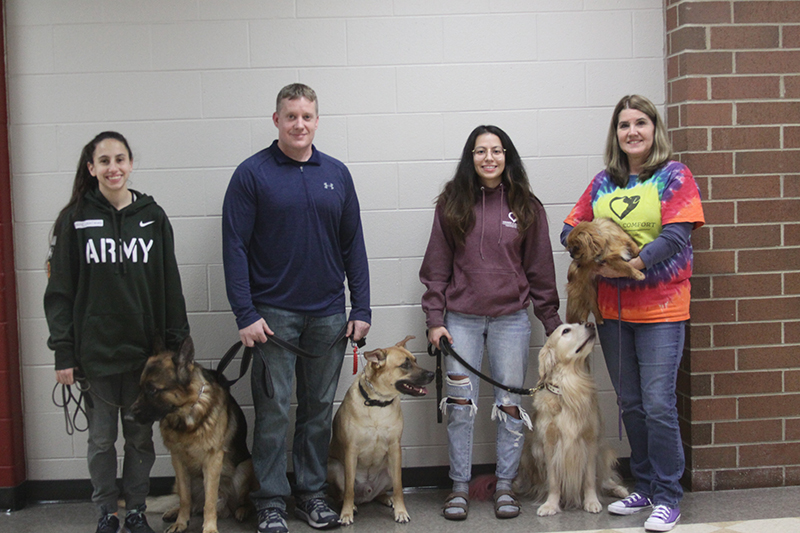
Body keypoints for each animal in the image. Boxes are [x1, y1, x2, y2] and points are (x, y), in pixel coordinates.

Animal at [130, 336, 253, 532]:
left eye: (153, 390)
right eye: (141, 388)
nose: (128, 416)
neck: (185, 417)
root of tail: (226, 504)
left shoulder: (213, 461)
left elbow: (210, 502)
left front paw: (209, 528)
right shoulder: (177, 460)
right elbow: (185, 498)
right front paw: (181, 523)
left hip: (245, 468)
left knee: (238, 501)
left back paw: (242, 510)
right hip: (180, 479)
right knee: (191, 502)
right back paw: (174, 511)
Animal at [326, 336, 434, 524]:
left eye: (416, 360)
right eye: (404, 365)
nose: (432, 374)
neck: (378, 402)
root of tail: (366, 495)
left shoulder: (395, 448)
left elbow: (398, 487)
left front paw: (401, 511)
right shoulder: (351, 450)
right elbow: (349, 489)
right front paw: (346, 513)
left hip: (390, 467)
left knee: (382, 492)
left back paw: (387, 499)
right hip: (335, 467)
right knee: (342, 494)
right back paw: (352, 506)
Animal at [512, 322, 632, 512]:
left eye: (580, 323)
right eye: (566, 331)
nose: (590, 324)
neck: (570, 386)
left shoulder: (590, 441)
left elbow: (590, 478)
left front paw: (591, 501)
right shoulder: (549, 444)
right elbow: (553, 481)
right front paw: (550, 505)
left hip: (603, 452)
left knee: (605, 479)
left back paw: (620, 490)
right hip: (526, 456)